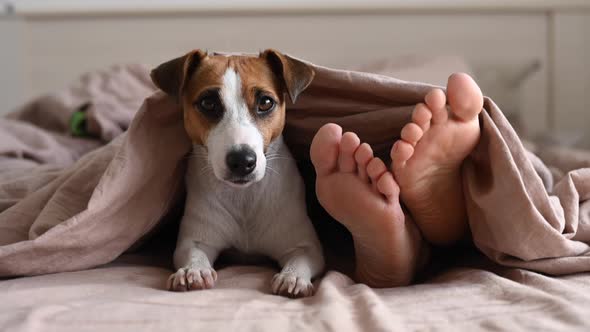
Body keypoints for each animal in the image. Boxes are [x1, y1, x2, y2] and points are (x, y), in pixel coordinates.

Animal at [150, 48, 326, 296]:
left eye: (265, 102)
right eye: (208, 103)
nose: (242, 161)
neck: (244, 199)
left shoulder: (305, 245)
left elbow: (301, 258)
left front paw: (293, 277)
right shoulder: (196, 239)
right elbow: (193, 253)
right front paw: (193, 270)